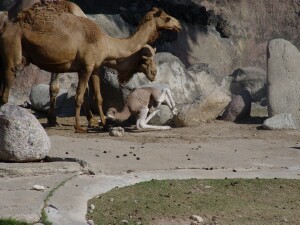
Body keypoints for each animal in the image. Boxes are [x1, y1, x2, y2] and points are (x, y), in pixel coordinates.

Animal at [0, 1, 180, 132]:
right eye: (167, 18)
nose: (178, 24)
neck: (107, 43)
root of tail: (6, 24)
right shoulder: (86, 67)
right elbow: (79, 96)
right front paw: (79, 127)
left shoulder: (93, 68)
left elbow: (98, 97)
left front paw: (104, 124)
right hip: (13, 49)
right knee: (7, 89)